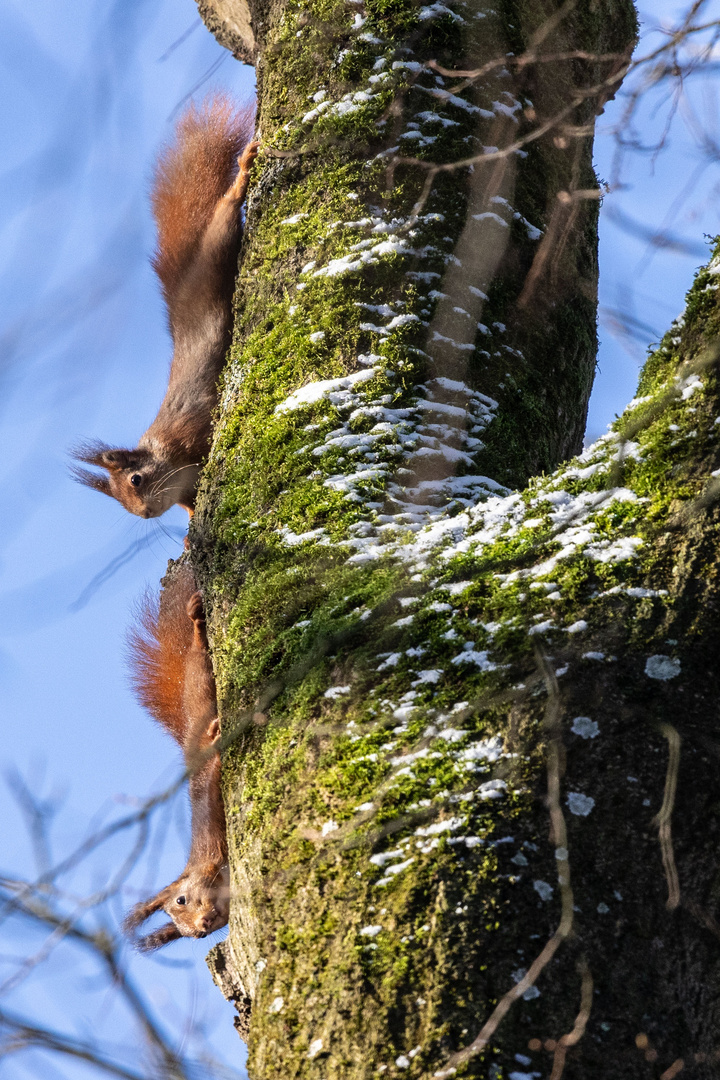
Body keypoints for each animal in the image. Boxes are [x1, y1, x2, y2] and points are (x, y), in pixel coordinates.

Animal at [72, 99, 259, 520]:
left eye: (136, 480)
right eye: (121, 504)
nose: (144, 514)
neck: (163, 451)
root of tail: (183, 281)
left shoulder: (188, 431)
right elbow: (190, 506)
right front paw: (189, 527)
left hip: (214, 259)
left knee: (223, 217)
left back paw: (241, 178)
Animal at [122, 561, 226, 950]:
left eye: (181, 899)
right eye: (186, 936)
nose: (202, 927)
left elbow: (211, 777)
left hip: (198, 685)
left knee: (198, 657)